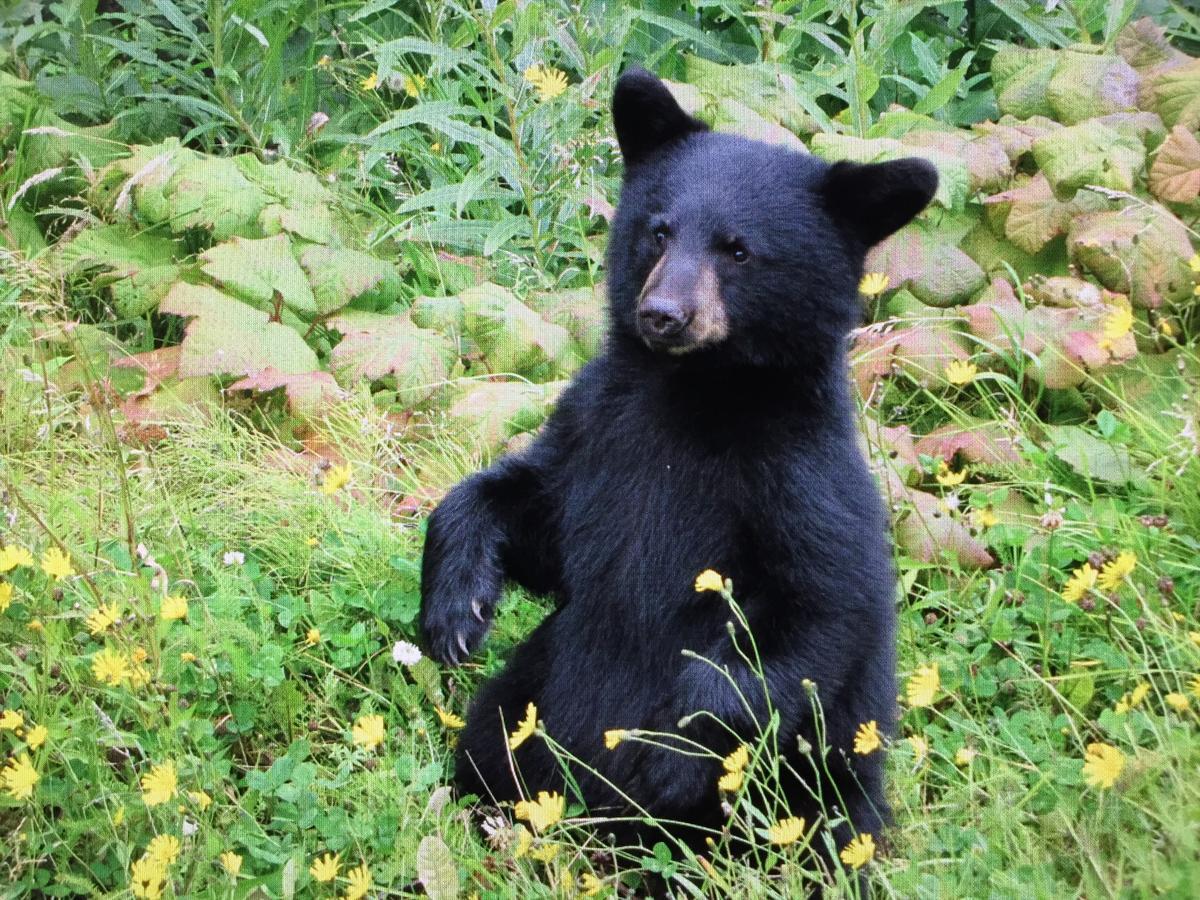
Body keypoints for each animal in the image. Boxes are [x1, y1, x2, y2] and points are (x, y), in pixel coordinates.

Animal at [420, 66, 936, 868]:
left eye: (739, 250)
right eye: (659, 229)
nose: (662, 314)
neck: (693, 392)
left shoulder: (800, 480)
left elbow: (817, 616)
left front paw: (665, 756)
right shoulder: (600, 426)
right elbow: (537, 516)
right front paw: (455, 609)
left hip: (822, 781)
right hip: (531, 687)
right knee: (494, 735)